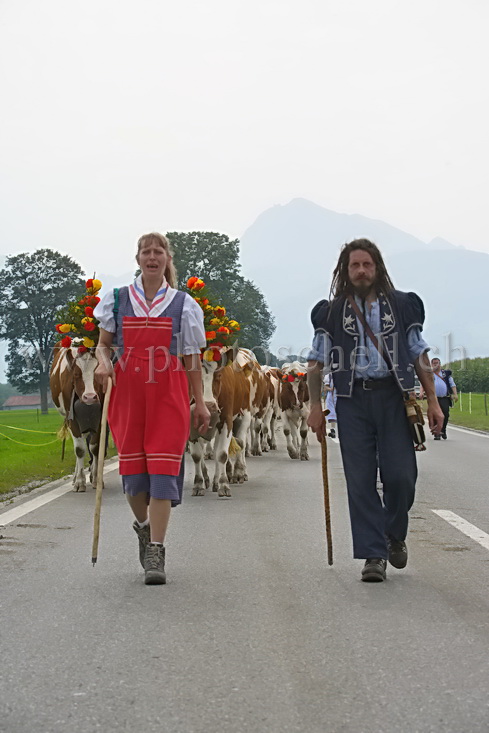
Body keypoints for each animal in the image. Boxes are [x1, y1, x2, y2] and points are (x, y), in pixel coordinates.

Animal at [49, 344, 104, 492]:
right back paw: (75, 477)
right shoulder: (71, 418)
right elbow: (79, 450)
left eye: (97, 374)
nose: (90, 397)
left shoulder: (100, 417)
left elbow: (95, 447)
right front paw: (79, 481)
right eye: (76, 374)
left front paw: (96, 479)